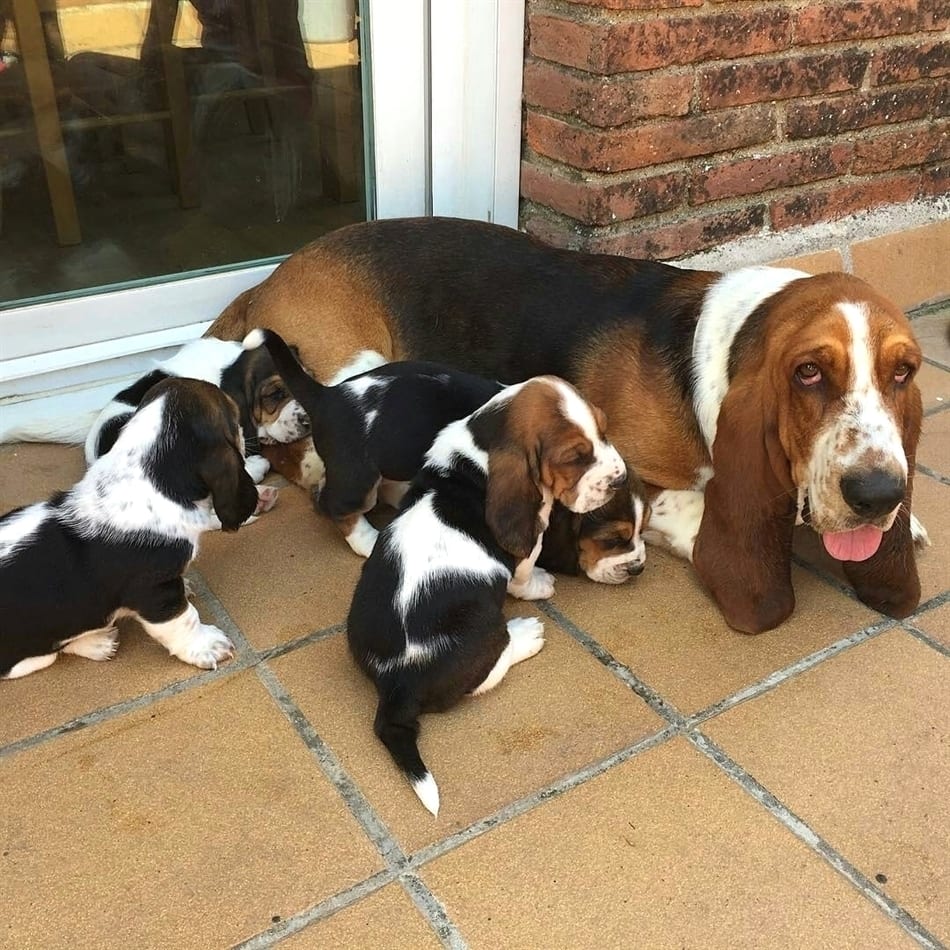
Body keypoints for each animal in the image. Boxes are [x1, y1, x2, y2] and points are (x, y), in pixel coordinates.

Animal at [0, 376, 278, 680]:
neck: (152, 475)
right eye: (235, 416)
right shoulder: (156, 594)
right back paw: (98, 642)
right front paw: (208, 646)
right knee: (49, 652)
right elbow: (185, 619)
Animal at [346, 376, 628, 816]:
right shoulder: (528, 544)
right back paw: (526, 635)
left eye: (604, 429)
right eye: (576, 457)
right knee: (492, 669)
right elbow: (524, 575)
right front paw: (541, 584)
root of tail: (396, 682)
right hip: (487, 630)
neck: (479, 449)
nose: (620, 479)